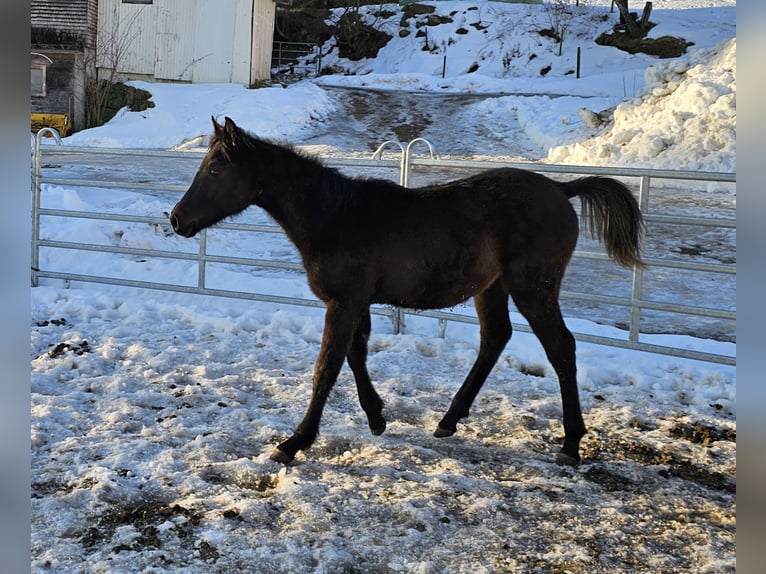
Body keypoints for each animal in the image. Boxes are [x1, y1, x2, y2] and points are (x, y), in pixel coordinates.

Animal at [170, 116, 645, 466]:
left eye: (214, 169)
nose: (176, 219)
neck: (335, 217)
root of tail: (562, 188)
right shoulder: (356, 303)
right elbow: (355, 356)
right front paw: (377, 417)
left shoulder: (342, 304)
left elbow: (326, 368)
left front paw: (294, 442)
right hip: (492, 288)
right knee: (495, 338)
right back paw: (449, 420)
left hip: (533, 288)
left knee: (561, 347)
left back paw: (571, 443)